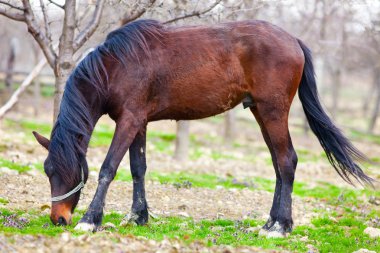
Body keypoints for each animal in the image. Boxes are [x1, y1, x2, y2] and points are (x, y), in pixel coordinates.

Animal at [31, 19, 372, 237]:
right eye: (48, 171)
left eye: (67, 171)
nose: (58, 219)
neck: (117, 65)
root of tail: (294, 41)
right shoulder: (138, 123)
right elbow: (138, 168)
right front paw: (138, 216)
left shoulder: (128, 121)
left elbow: (108, 168)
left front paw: (90, 220)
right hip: (261, 113)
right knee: (279, 164)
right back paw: (271, 223)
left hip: (273, 112)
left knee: (287, 162)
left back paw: (280, 227)